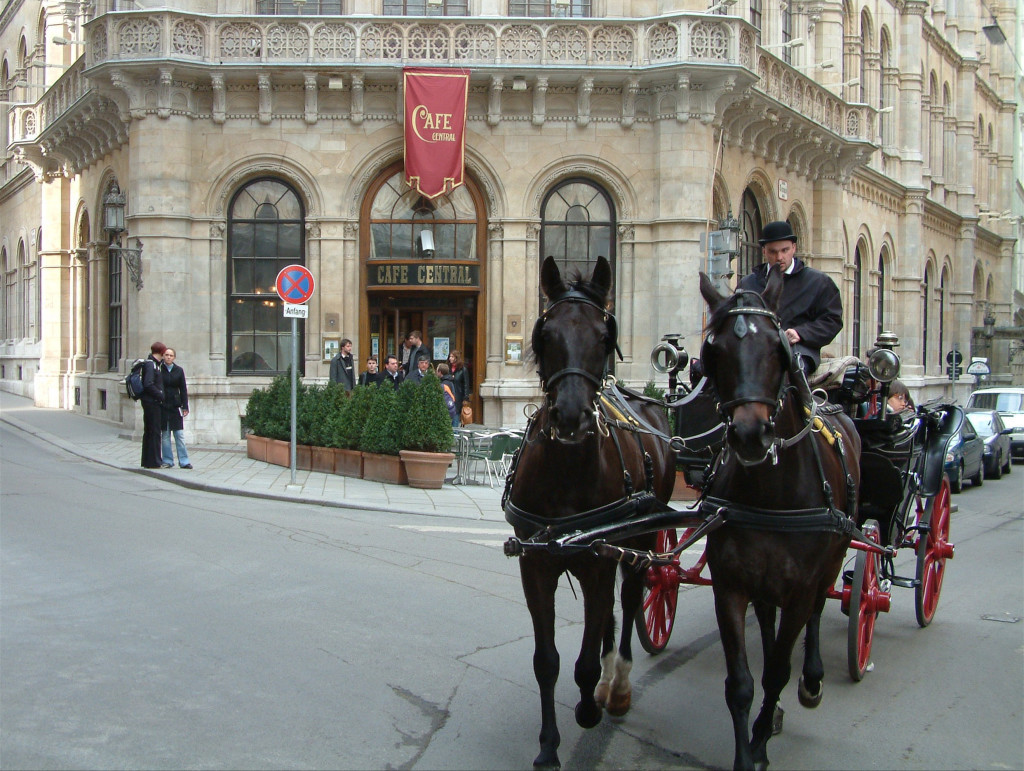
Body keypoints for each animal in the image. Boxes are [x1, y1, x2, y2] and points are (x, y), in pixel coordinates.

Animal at [501, 255, 671, 765]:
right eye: (547, 332)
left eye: (603, 335)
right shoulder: (536, 566)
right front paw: (548, 747)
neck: (566, 473)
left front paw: (589, 707)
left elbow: (583, 661)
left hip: (640, 542)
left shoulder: (598, 564)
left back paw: (617, 686)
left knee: (632, 600)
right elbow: (547, 661)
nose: (572, 417)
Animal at [696, 268, 864, 769]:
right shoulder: (731, 584)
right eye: (713, 352)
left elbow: (777, 674)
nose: (751, 435)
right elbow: (741, 683)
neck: (770, 493)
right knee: (768, 621)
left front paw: (762, 737)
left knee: (819, 611)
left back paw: (812, 679)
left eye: (779, 348)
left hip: (833, 558)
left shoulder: (802, 587)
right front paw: (746, 750)